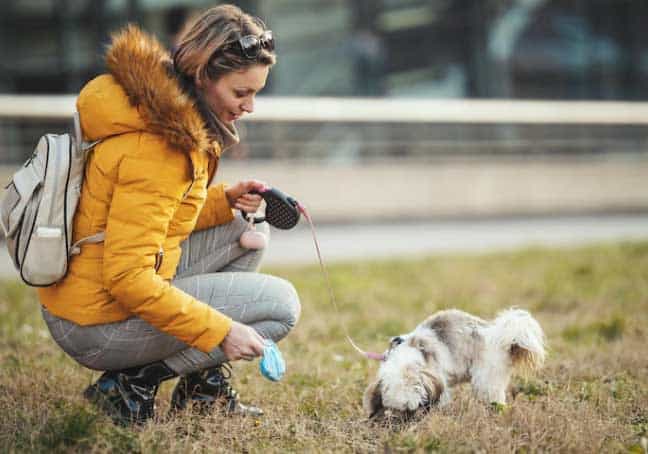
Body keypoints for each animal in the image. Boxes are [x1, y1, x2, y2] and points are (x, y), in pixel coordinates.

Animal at [362, 308, 544, 418]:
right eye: (400, 410)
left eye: (417, 407)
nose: (410, 421)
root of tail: (500, 336)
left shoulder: (439, 380)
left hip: (486, 381)